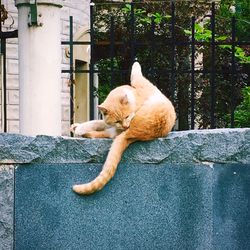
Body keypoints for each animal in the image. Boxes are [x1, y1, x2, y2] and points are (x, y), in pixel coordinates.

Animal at [70, 61, 176, 194]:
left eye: (127, 116)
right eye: (117, 121)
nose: (125, 125)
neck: (135, 98)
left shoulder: (143, 85)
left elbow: (136, 73)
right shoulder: (113, 124)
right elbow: (97, 122)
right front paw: (79, 127)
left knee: (107, 134)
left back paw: (83, 133)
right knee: (107, 134)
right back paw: (81, 131)